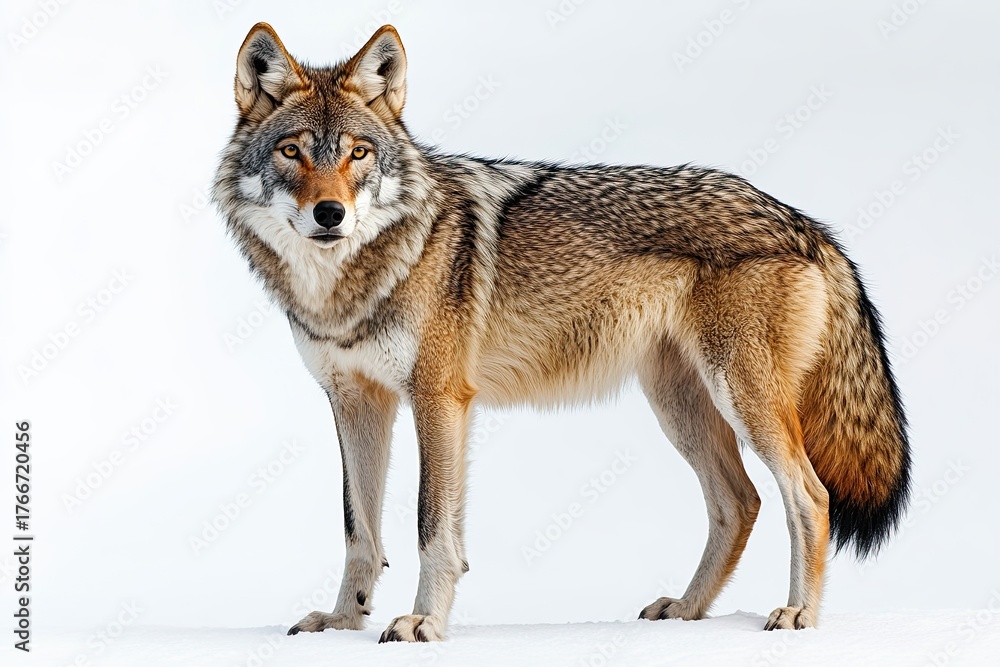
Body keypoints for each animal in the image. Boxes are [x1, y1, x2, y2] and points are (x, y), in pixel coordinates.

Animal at [213, 23, 911, 642]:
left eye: (357, 153)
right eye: (293, 152)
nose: (330, 213)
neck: (352, 284)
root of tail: (803, 221)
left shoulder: (439, 399)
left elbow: (431, 529)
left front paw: (424, 624)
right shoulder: (355, 401)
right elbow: (360, 530)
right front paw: (342, 623)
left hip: (742, 400)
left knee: (809, 497)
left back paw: (798, 617)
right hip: (680, 406)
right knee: (741, 503)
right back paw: (687, 611)